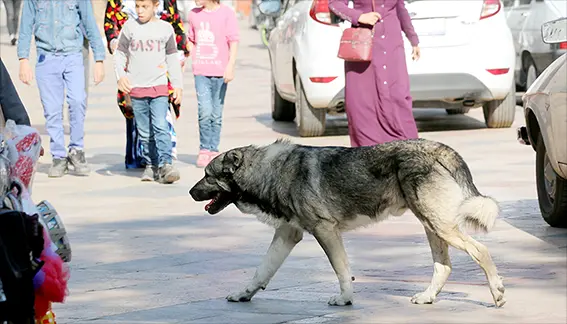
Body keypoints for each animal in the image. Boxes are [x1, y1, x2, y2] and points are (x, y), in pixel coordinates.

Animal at [191, 138, 506, 308]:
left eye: (208, 175)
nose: (191, 192)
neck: (269, 171)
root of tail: (440, 148)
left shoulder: (325, 230)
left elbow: (342, 269)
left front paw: (345, 299)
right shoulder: (288, 234)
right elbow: (261, 272)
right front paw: (244, 294)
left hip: (440, 226)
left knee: (481, 251)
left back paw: (498, 292)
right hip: (432, 225)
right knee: (444, 266)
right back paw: (428, 297)